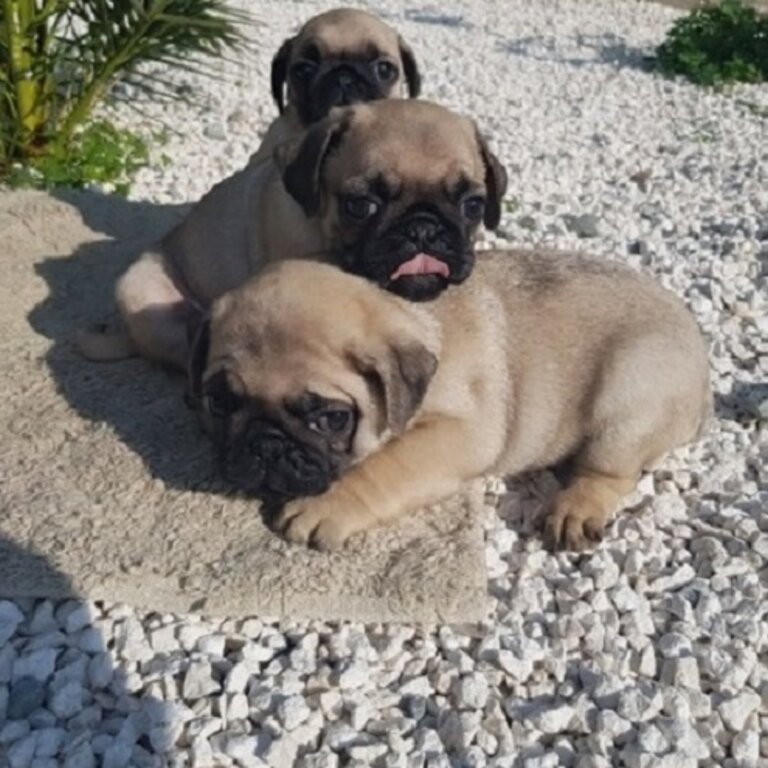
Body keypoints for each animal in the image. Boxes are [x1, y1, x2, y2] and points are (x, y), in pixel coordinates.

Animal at [189, 252, 712, 552]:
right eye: (219, 403)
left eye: (332, 419)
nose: (265, 444)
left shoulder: (458, 434)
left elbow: (382, 467)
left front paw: (325, 506)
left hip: (628, 396)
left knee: (610, 472)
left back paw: (576, 508)